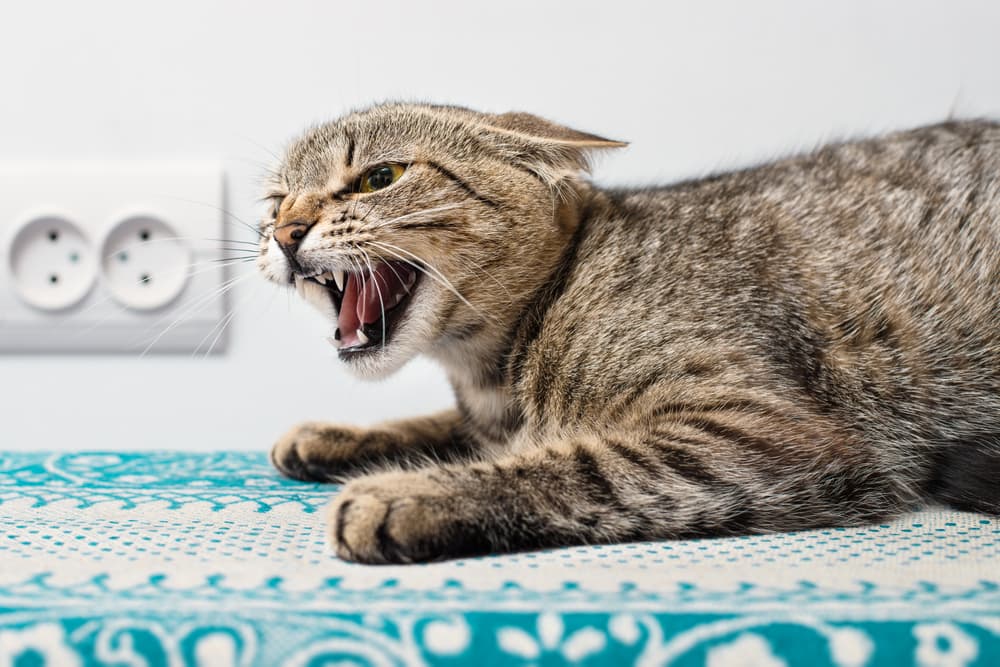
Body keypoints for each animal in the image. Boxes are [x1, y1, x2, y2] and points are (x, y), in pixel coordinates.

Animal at [258, 103, 1000, 564]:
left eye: (379, 177)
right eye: (274, 201)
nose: (285, 232)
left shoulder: (759, 428)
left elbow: (578, 462)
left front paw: (409, 493)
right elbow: (442, 426)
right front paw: (341, 436)